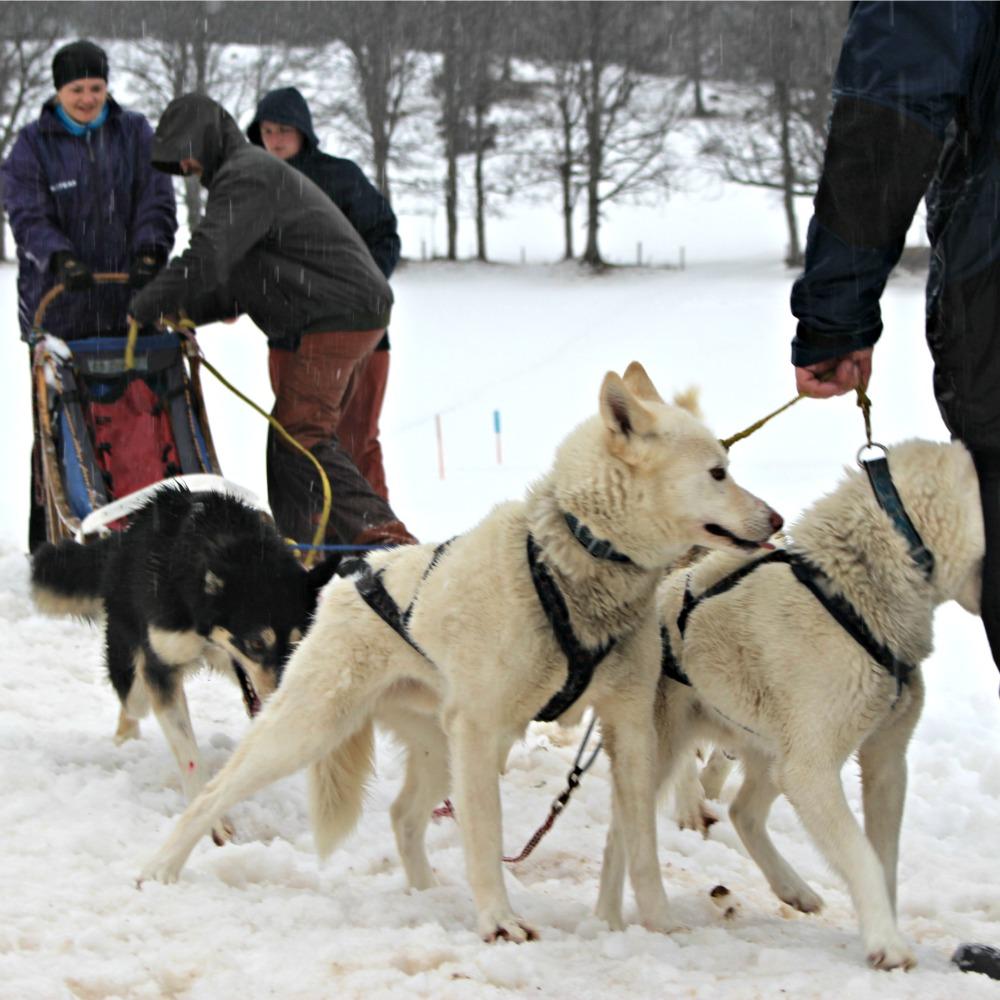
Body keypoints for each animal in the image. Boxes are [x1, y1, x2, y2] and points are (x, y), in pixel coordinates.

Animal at [32, 488, 340, 840]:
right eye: (255, 643)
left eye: (298, 643)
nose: (280, 698)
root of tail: (122, 540)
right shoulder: (160, 668)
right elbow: (188, 751)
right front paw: (212, 823)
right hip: (131, 656)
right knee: (134, 701)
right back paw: (125, 741)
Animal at [143, 364, 780, 940]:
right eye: (718, 472)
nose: (775, 517)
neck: (572, 566)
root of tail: (349, 577)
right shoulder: (481, 731)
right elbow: (487, 835)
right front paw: (498, 920)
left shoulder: (628, 728)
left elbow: (641, 844)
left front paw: (660, 926)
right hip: (313, 730)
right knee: (214, 791)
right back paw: (159, 868)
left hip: (438, 747)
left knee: (403, 816)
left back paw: (427, 892)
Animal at [596, 438, 980, 968]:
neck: (855, 594)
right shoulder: (812, 768)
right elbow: (861, 854)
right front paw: (887, 943)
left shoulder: (885, 760)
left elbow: (883, 860)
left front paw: (884, 925)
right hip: (664, 752)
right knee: (622, 832)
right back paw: (609, 921)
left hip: (769, 750)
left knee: (743, 811)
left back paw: (792, 887)